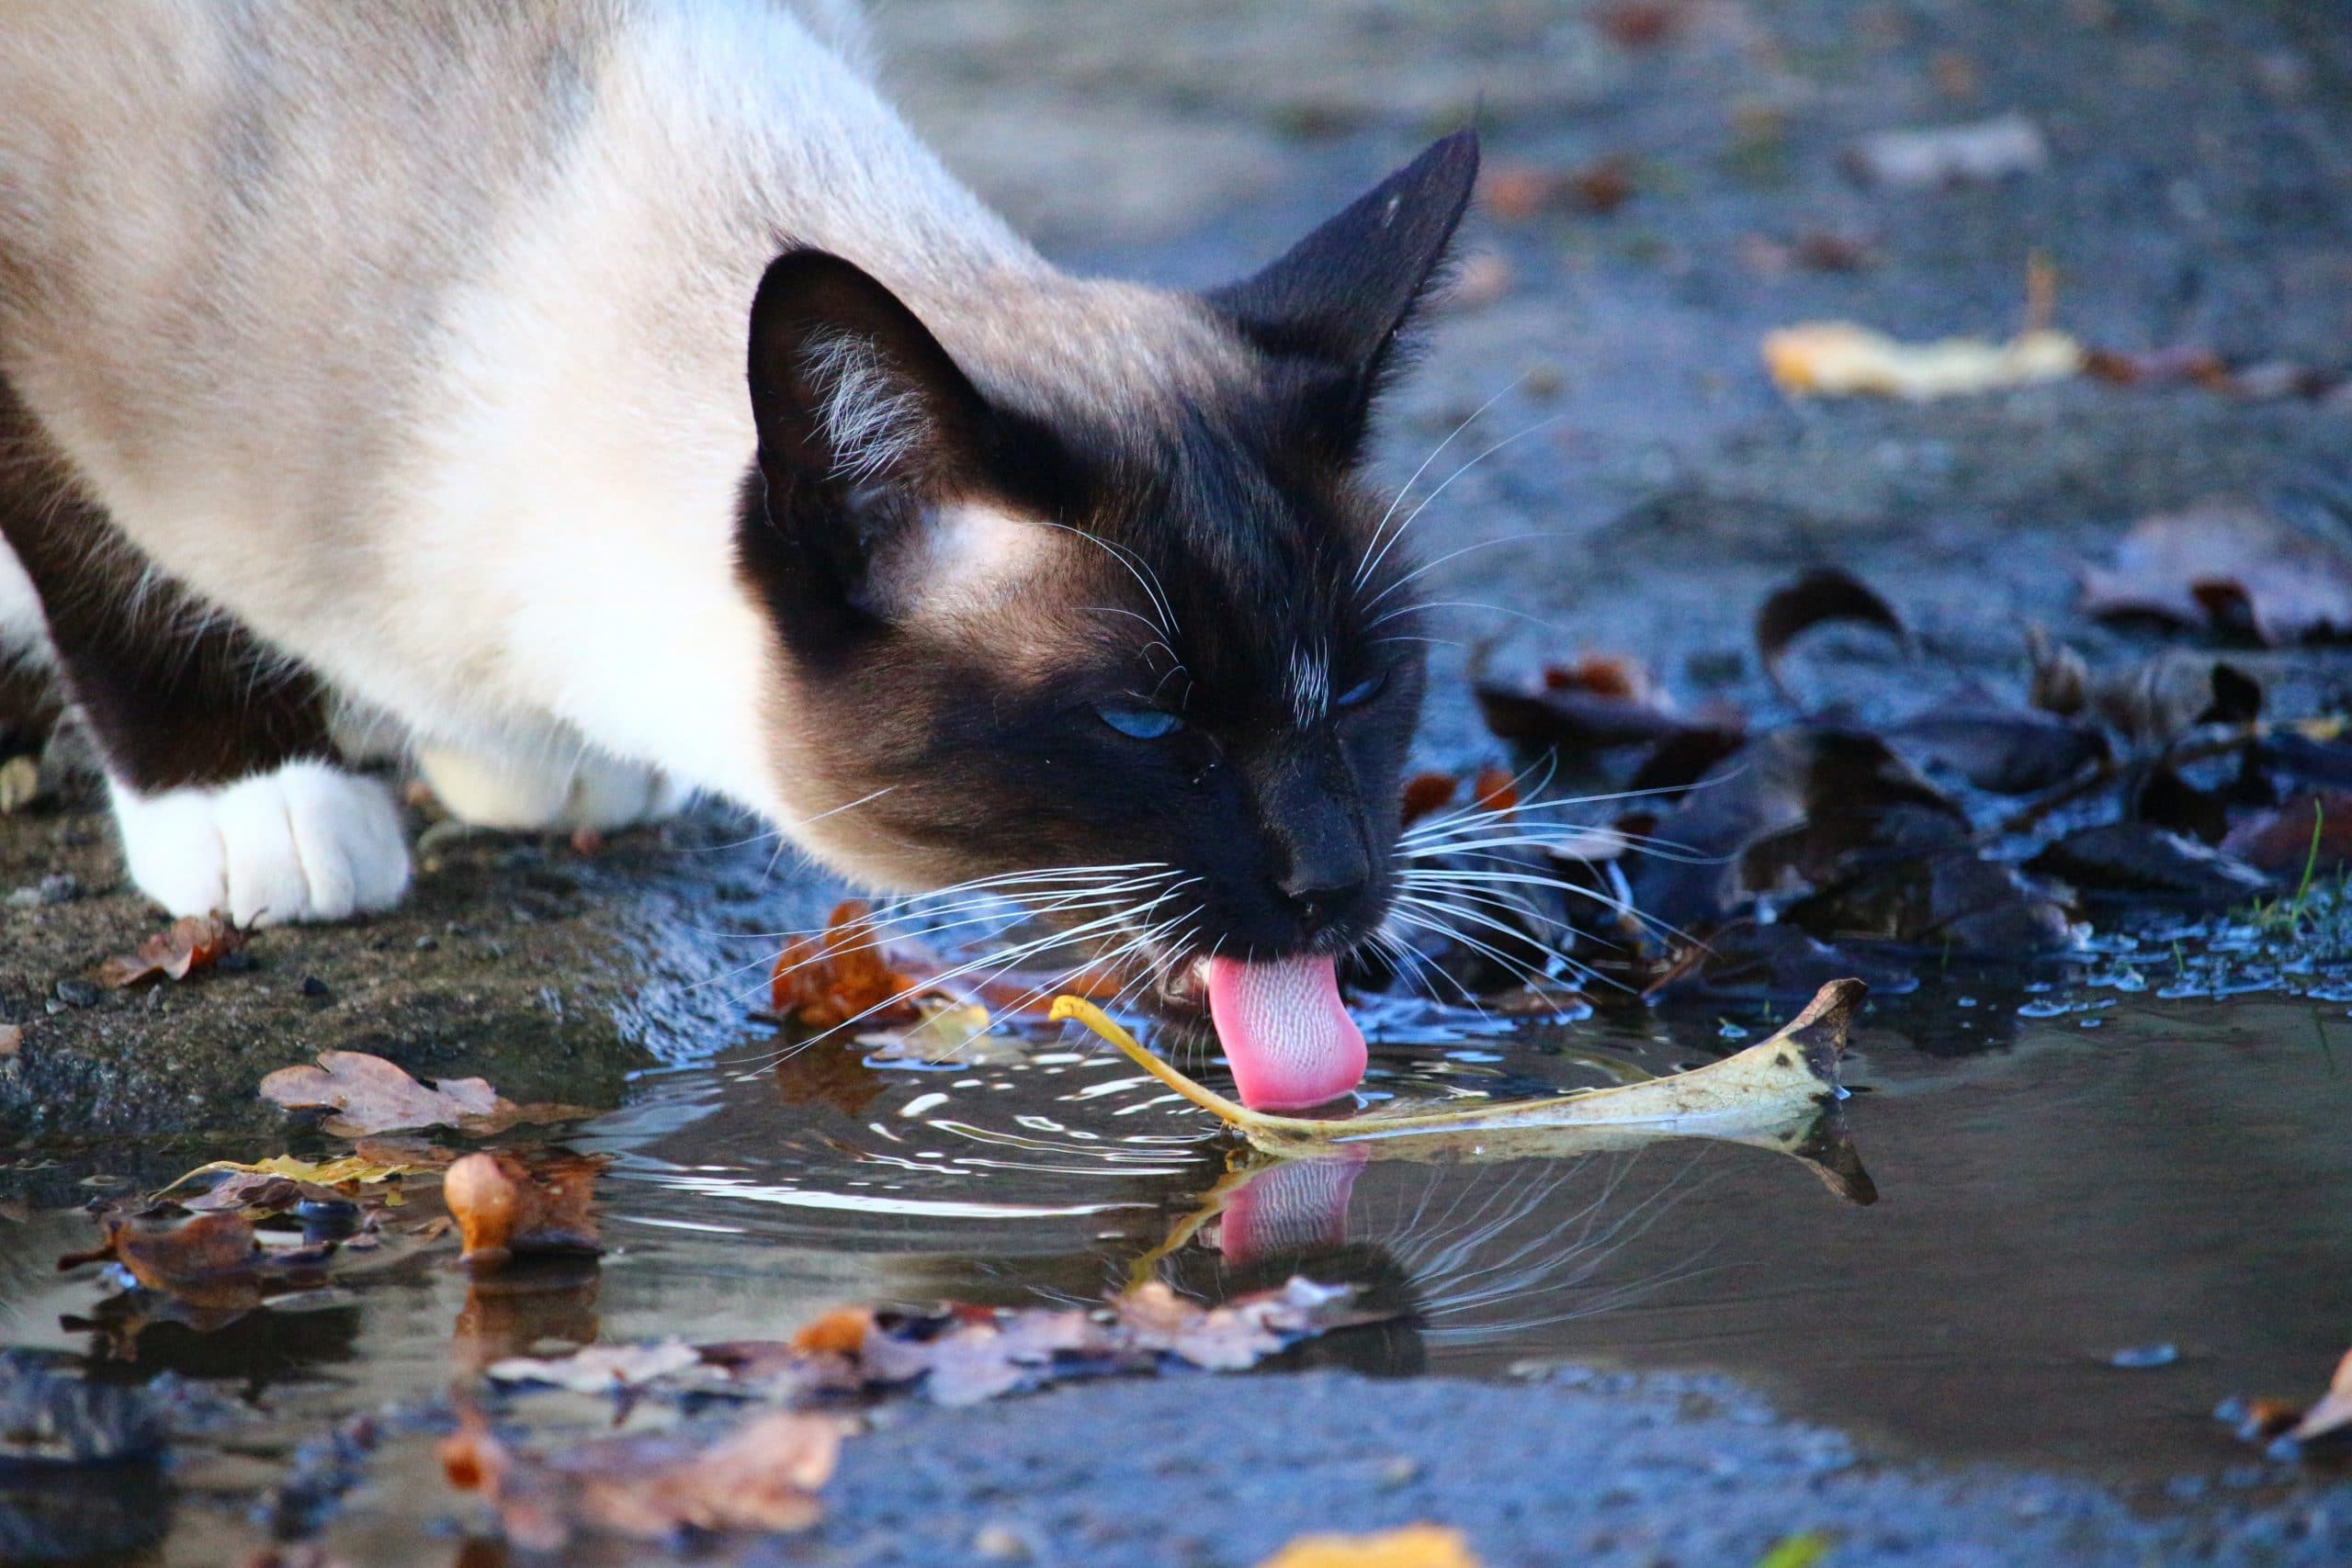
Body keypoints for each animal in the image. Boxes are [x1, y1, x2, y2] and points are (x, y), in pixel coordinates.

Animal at [0, 0, 1467, 1109]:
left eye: (1361, 688)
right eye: (1144, 723)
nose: (1337, 884)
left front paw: (526, 765)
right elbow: (105, 560)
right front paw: (253, 805)